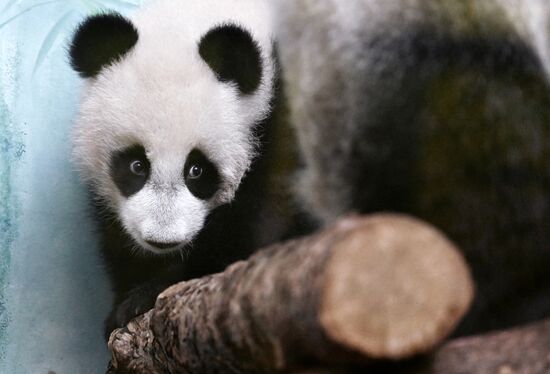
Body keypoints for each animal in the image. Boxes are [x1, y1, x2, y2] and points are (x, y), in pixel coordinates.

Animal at [69, 0, 302, 338]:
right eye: (137, 165)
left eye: (196, 170)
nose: (161, 240)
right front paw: (122, 305)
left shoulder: (283, 132)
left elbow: (252, 234)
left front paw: (148, 294)